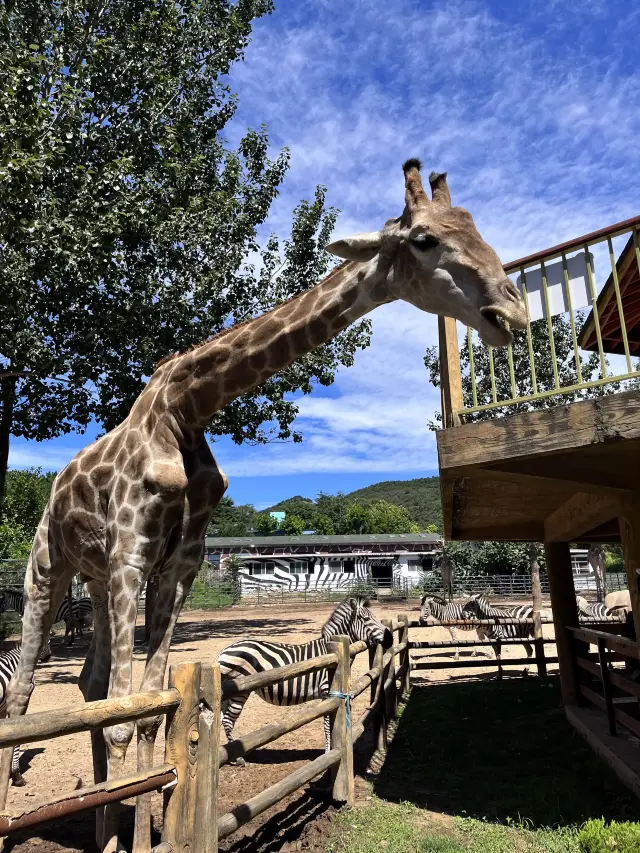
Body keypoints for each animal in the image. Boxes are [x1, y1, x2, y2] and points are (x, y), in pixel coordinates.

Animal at [218, 592, 392, 764]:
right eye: (366, 619)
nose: (390, 639)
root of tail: (225, 650)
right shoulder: (327, 693)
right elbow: (327, 724)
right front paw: (328, 753)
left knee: (222, 718)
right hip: (240, 691)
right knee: (228, 720)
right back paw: (237, 758)